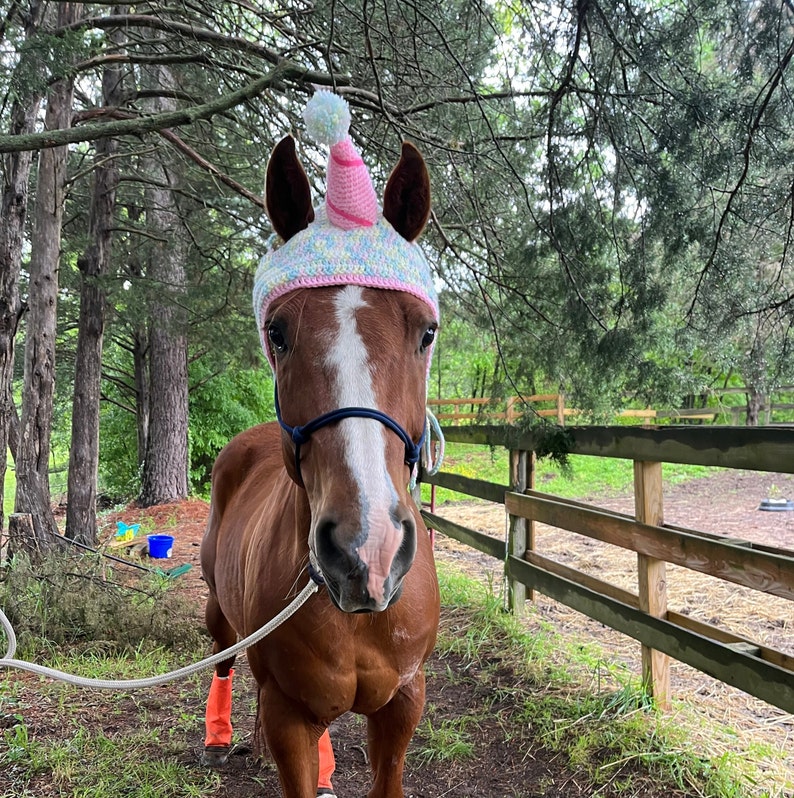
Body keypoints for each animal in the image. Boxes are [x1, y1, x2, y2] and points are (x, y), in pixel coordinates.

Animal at [200, 139, 440, 798]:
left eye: (426, 332)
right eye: (277, 333)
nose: (367, 550)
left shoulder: (404, 703)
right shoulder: (289, 715)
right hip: (216, 604)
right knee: (224, 655)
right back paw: (219, 736)